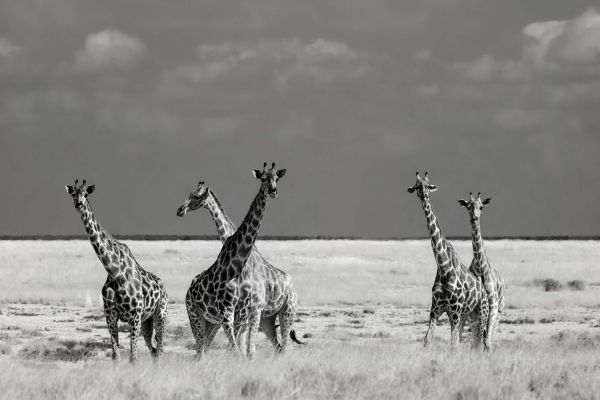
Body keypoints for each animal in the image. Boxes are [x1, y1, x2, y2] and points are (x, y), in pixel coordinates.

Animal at [65, 179, 168, 363]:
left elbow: (133, 358)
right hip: (146, 322)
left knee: (160, 350)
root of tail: (163, 288)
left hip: (160, 314)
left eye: (86, 194)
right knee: (154, 349)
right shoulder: (110, 316)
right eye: (73, 194)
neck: (114, 272)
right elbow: (116, 355)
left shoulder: (134, 316)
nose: (78, 204)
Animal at [184, 163, 299, 359]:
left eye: (276, 178)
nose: (180, 210)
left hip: (285, 310)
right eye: (263, 178)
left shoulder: (247, 310)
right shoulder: (232, 312)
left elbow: (244, 349)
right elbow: (238, 348)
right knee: (201, 348)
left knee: (283, 346)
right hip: (201, 315)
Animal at [407, 172, 488, 348]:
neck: (443, 267)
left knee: (481, 341)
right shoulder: (435, 310)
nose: (424, 195)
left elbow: (454, 345)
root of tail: (485, 290)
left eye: (428, 185)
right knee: (474, 341)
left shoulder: (454, 311)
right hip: (469, 314)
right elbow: (427, 340)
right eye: (417, 186)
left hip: (481, 312)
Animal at [458, 192, 505, 351]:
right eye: (468, 206)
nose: (474, 219)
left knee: (488, 337)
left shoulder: (493, 305)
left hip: (499, 309)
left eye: (481, 207)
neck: (480, 266)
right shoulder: (472, 309)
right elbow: (477, 340)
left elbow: (487, 341)